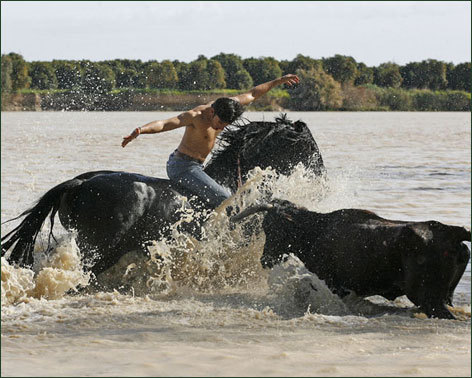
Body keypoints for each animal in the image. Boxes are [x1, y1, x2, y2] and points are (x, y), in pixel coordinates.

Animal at [233, 199, 472, 320]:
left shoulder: (333, 284)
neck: (314, 231)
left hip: (427, 298)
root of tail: (452, 232)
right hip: (444, 297)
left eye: (271, 226)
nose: (264, 259)